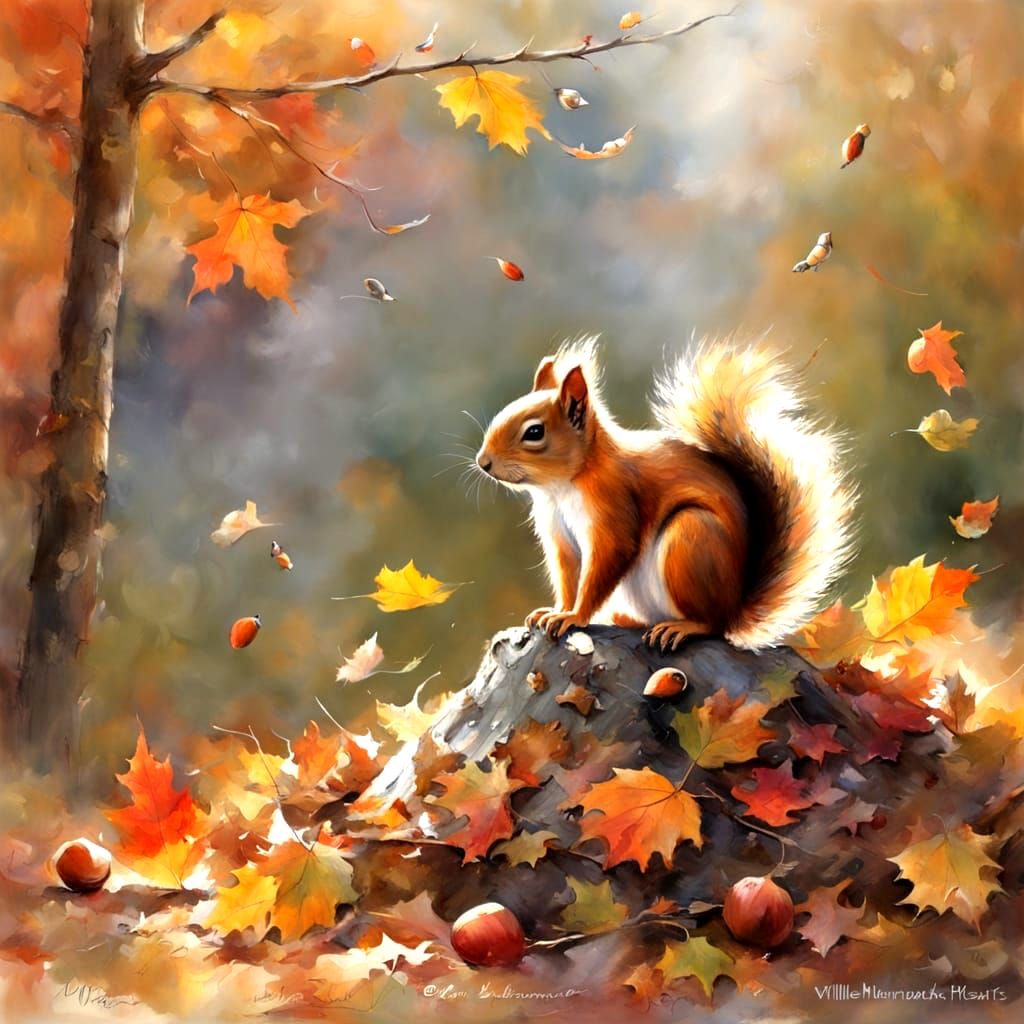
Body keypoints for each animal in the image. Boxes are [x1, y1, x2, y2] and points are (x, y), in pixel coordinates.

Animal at [474, 337, 856, 652]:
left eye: (534, 433)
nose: (483, 462)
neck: (562, 486)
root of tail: (734, 608)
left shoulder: (614, 505)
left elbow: (605, 562)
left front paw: (575, 617)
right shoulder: (560, 536)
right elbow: (569, 575)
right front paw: (557, 611)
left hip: (690, 540)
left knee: (711, 625)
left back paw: (684, 627)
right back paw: (623, 619)